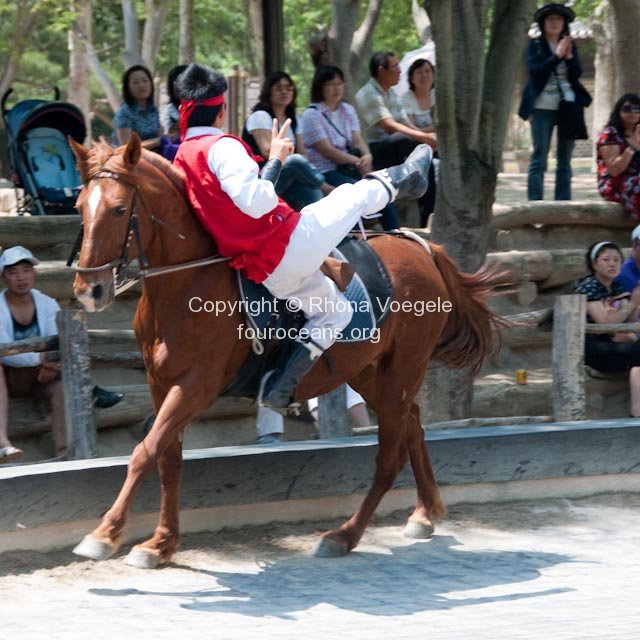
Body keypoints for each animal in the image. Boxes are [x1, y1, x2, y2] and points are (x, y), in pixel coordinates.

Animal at [69, 136, 500, 568]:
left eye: (119, 209)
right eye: (80, 207)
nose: (89, 291)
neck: (187, 280)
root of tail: (419, 246)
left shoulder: (195, 387)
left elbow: (145, 452)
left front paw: (105, 533)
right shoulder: (162, 385)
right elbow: (166, 458)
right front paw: (160, 543)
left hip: (400, 369)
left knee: (390, 457)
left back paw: (344, 536)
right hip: (370, 372)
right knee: (412, 423)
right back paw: (424, 513)